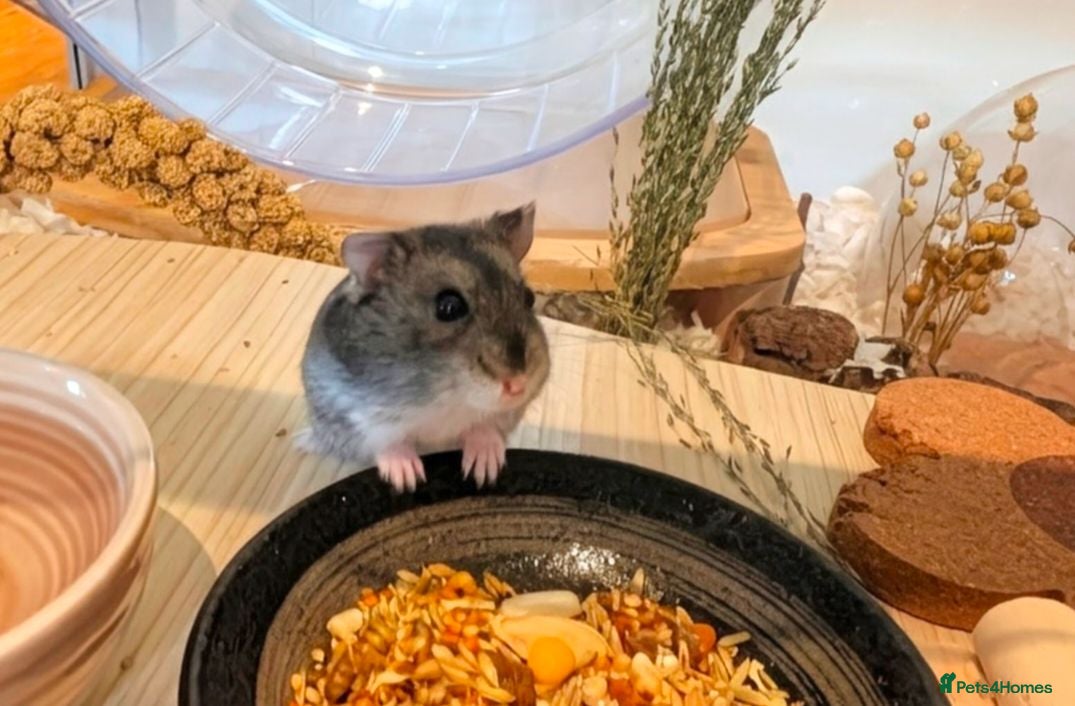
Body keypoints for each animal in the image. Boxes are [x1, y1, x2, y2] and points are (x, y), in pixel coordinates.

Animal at [296, 203, 551, 493]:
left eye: (529, 298)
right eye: (449, 307)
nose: (519, 385)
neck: (446, 394)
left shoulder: (505, 414)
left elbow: (485, 427)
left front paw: (484, 471)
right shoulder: (357, 414)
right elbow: (388, 443)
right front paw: (409, 480)